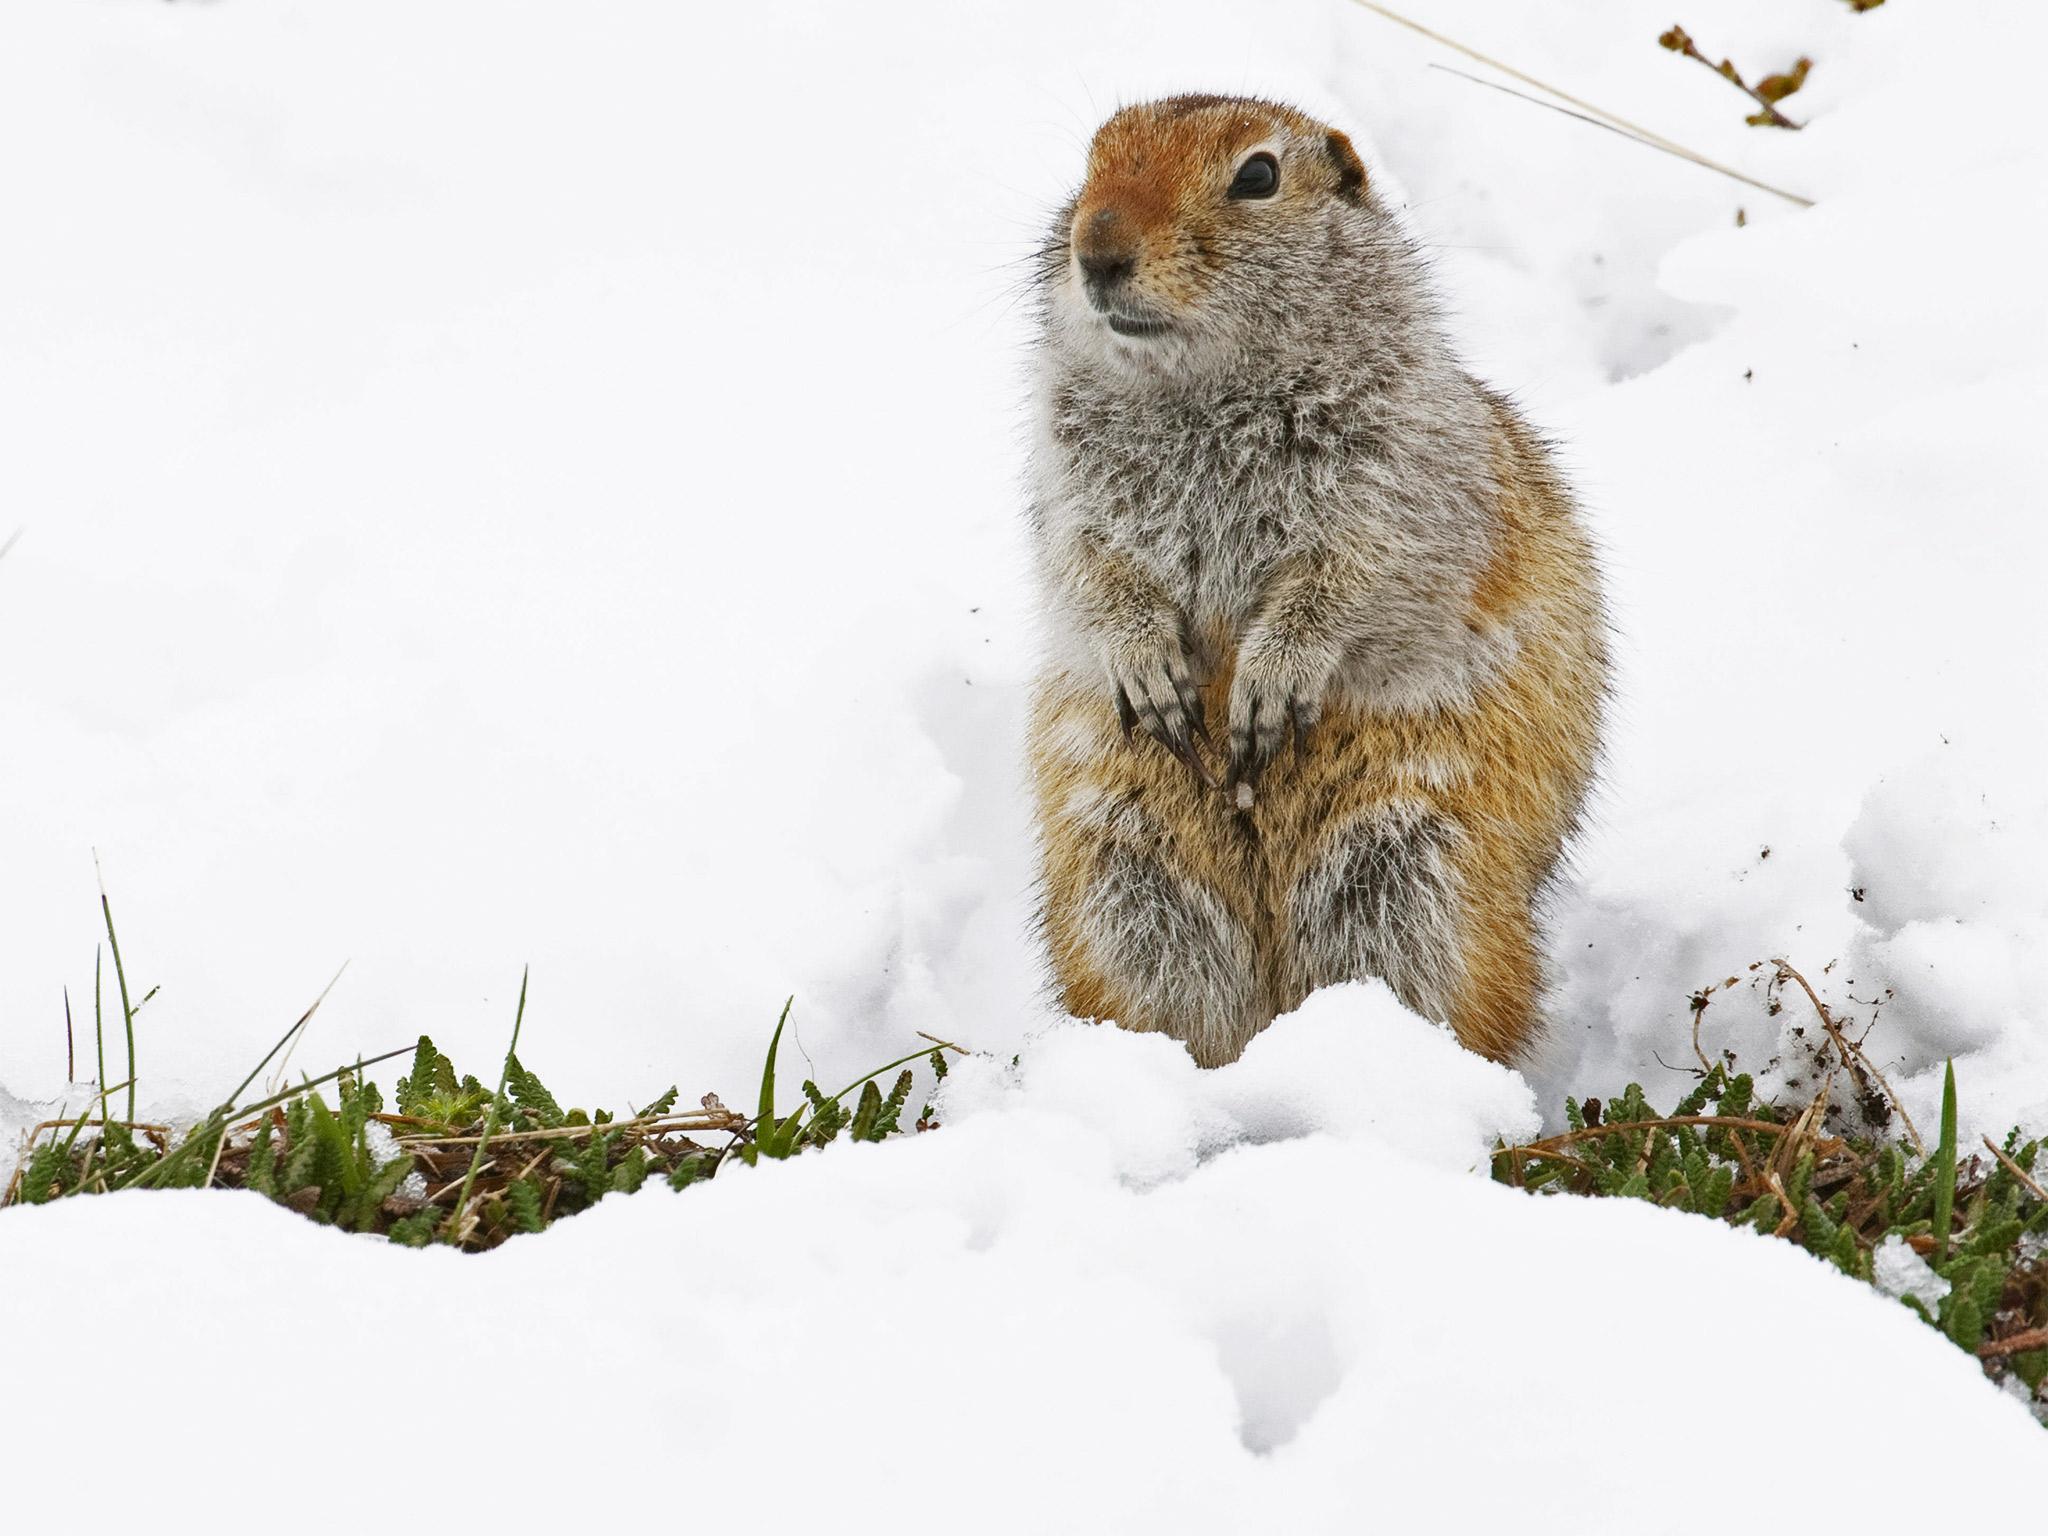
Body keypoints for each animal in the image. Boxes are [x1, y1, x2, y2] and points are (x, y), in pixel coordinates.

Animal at [1032, 90, 1605, 1064]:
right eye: (1091, 160)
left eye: (1257, 175)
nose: (1097, 250)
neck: (1201, 399)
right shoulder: (1070, 493)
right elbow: (1089, 569)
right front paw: (1150, 673)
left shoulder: (1401, 488)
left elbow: (1352, 580)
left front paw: (1268, 685)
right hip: (1129, 881)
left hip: (1410, 874)